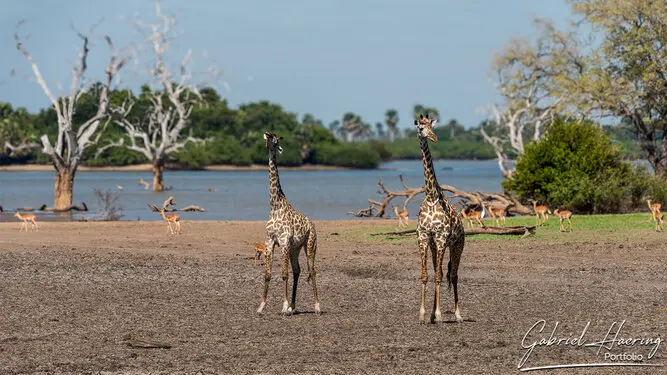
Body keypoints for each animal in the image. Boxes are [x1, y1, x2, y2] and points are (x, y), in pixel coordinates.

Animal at [256, 132, 320, 318]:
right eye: (267, 137)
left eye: (276, 138)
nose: (268, 138)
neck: (275, 205)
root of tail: (312, 224)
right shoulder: (270, 242)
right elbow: (268, 274)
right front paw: (261, 306)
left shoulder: (283, 242)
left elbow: (284, 274)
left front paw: (283, 307)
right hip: (295, 248)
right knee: (297, 270)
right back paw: (293, 307)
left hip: (310, 244)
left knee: (312, 270)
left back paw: (317, 306)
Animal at [414, 113, 468, 324]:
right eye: (420, 128)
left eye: (432, 126)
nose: (434, 138)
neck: (430, 196)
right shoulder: (423, 237)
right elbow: (425, 275)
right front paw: (423, 315)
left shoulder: (441, 237)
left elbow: (438, 276)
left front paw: (438, 314)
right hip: (436, 245)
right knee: (443, 272)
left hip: (457, 245)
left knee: (453, 275)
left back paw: (458, 315)